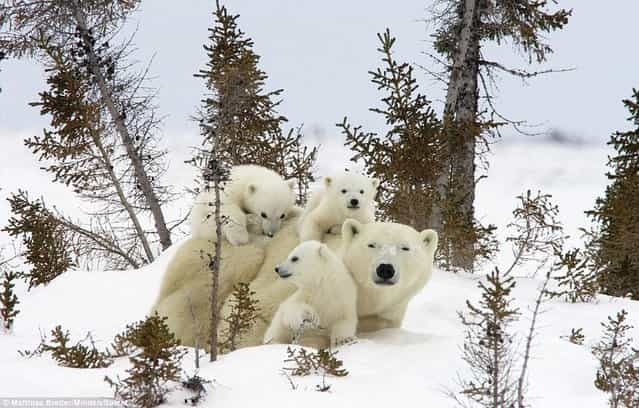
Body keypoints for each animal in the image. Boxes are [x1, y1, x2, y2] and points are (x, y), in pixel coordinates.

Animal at [151, 217, 440, 350]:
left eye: (405, 248)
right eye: (372, 244)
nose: (385, 269)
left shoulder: (386, 313)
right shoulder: (293, 280)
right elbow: (258, 308)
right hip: (219, 257)